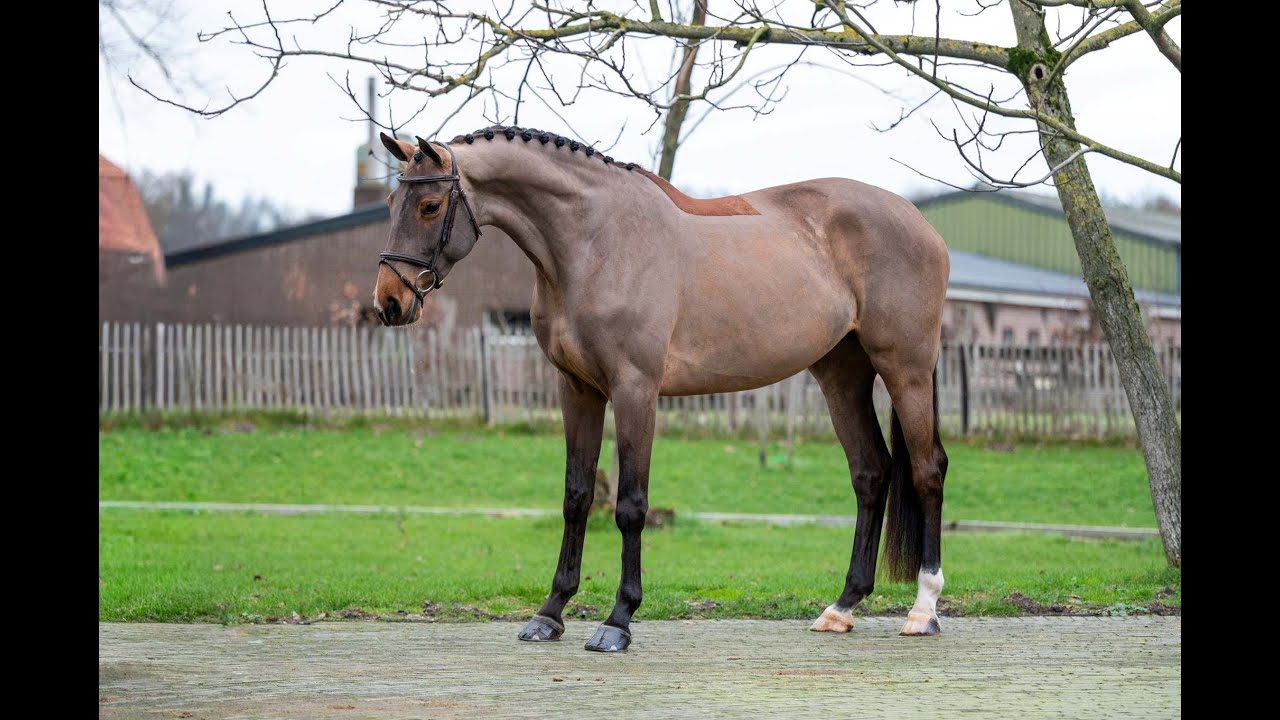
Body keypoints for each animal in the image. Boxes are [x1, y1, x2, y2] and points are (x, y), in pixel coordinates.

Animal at [373, 126, 950, 652]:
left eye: (429, 206)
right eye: (391, 202)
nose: (389, 302)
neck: (594, 241)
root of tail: (922, 224)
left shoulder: (635, 389)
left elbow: (631, 504)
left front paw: (618, 621)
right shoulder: (577, 390)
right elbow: (576, 496)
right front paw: (550, 613)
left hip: (906, 368)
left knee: (927, 471)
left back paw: (923, 610)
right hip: (840, 374)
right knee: (871, 474)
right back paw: (842, 606)